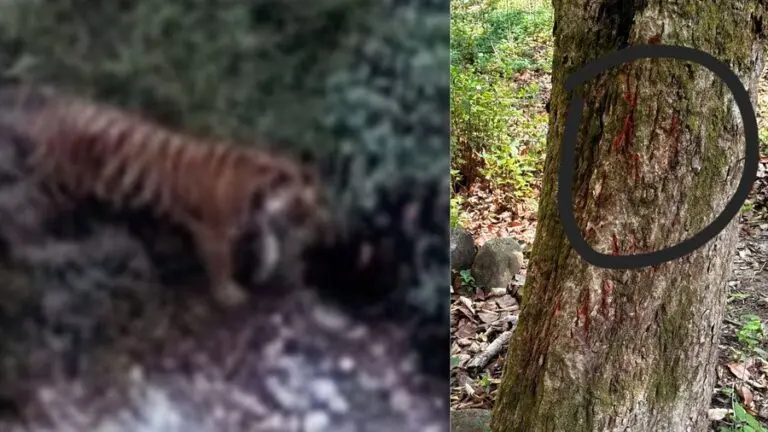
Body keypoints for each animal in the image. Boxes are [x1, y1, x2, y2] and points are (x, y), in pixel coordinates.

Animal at [0, 83, 331, 308]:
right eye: (301, 205)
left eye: (314, 203)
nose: (318, 229)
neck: (258, 194)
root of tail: (53, 108)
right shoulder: (214, 232)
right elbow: (222, 264)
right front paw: (228, 294)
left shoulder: (257, 220)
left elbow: (269, 240)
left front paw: (264, 269)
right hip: (60, 183)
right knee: (31, 205)